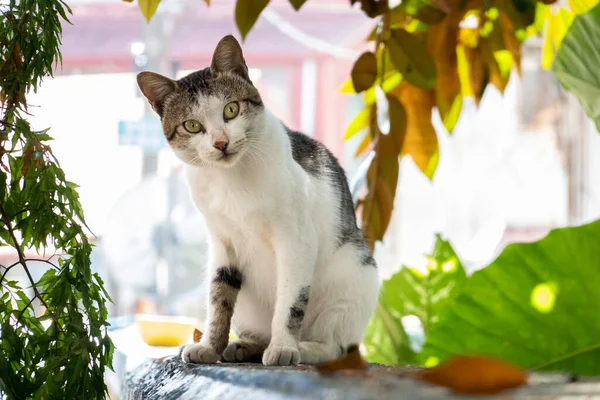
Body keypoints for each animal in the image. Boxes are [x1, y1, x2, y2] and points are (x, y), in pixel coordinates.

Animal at [136, 35, 380, 366]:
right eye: (192, 126)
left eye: (231, 110)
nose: (221, 143)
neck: (231, 179)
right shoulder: (222, 243)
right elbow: (218, 299)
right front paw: (210, 346)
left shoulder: (296, 240)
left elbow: (290, 302)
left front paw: (284, 347)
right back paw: (243, 346)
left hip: (354, 278)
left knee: (336, 347)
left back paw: (304, 348)